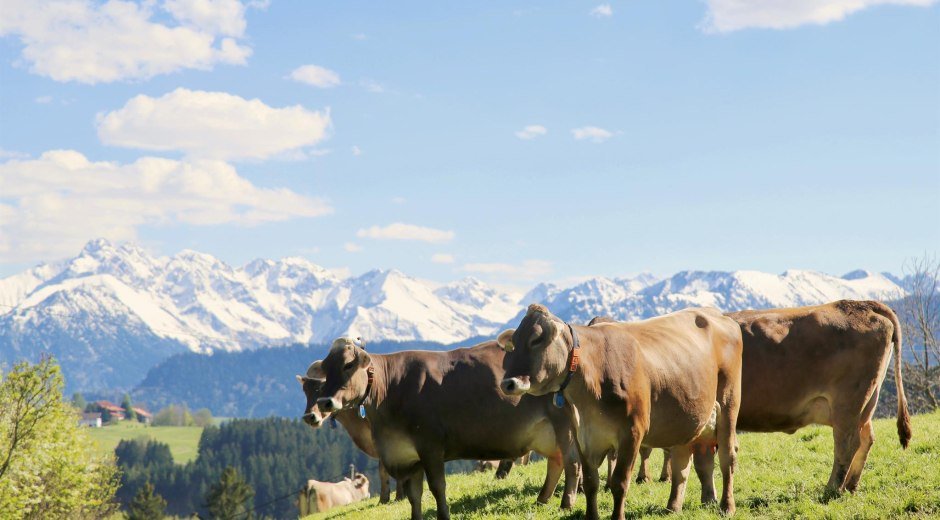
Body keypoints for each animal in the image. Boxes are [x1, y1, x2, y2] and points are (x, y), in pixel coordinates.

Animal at [312, 338, 584, 520]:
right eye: (325, 368)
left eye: (348, 365)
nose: (325, 402)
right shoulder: (407, 455)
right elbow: (414, 494)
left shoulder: (430, 445)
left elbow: (437, 487)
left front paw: (443, 516)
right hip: (546, 430)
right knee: (557, 461)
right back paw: (542, 500)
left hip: (563, 422)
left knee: (572, 463)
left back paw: (566, 504)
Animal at [500, 304, 740, 520]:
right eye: (514, 344)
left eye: (536, 340)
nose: (507, 383)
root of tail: (716, 313)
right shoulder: (583, 435)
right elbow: (590, 482)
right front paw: (591, 516)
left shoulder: (632, 432)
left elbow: (620, 482)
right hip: (686, 420)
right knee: (683, 462)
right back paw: (673, 507)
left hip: (728, 405)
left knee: (727, 458)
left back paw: (727, 507)